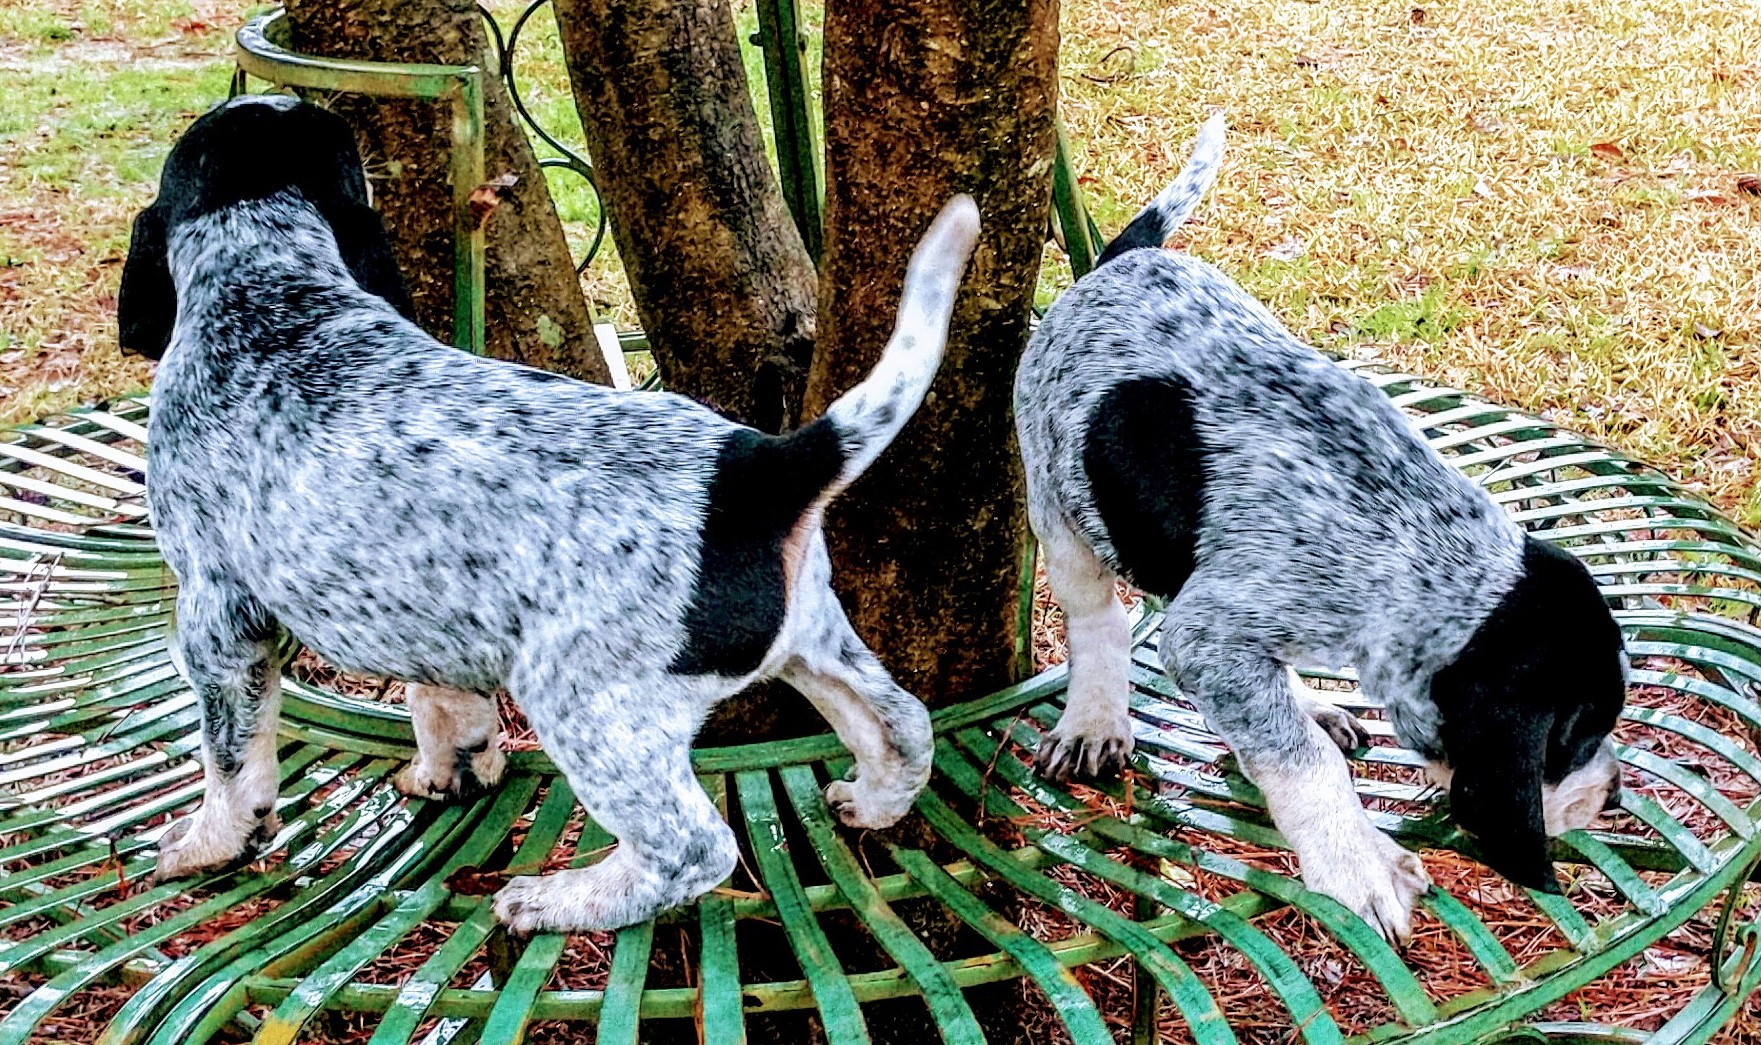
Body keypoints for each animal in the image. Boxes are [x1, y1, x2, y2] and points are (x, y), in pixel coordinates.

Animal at [117, 95, 986, 930]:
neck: (273, 296)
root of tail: (760, 468)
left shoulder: (218, 615)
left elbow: (231, 759)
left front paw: (209, 842)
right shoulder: (428, 616)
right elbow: (444, 704)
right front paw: (449, 771)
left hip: (583, 701)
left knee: (695, 849)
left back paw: (559, 900)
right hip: (812, 638)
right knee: (904, 723)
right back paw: (870, 802)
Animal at [1021, 116, 1620, 944]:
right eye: (1579, 738)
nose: (1615, 793)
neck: (1412, 538)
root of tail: (1118, 261)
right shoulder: (1208, 634)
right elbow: (1304, 763)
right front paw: (1356, 863)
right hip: (1058, 504)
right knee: (1097, 618)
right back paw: (1094, 717)